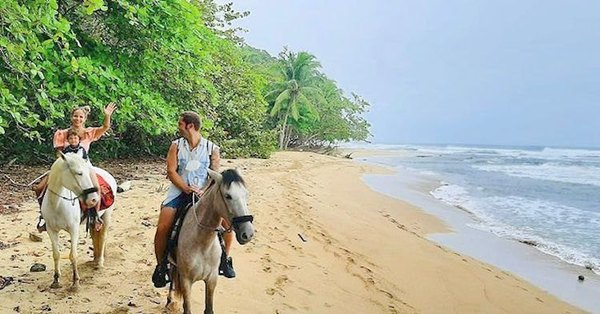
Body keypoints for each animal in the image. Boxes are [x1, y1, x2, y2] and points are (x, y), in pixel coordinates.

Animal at [41, 151, 117, 290]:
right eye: (79, 173)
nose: (93, 199)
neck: (57, 204)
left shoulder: (74, 230)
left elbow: (73, 255)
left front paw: (75, 282)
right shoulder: (51, 230)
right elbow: (56, 254)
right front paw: (56, 280)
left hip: (107, 215)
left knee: (103, 236)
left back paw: (100, 262)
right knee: (95, 235)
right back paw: (95, 259)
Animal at [168, 169, 254, 314]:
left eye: (246, 194)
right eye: (228, 196)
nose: (248, 234)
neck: (202, 243)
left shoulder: (212, 279)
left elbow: (209, 309)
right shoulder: (186, 281)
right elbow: (187, 308)